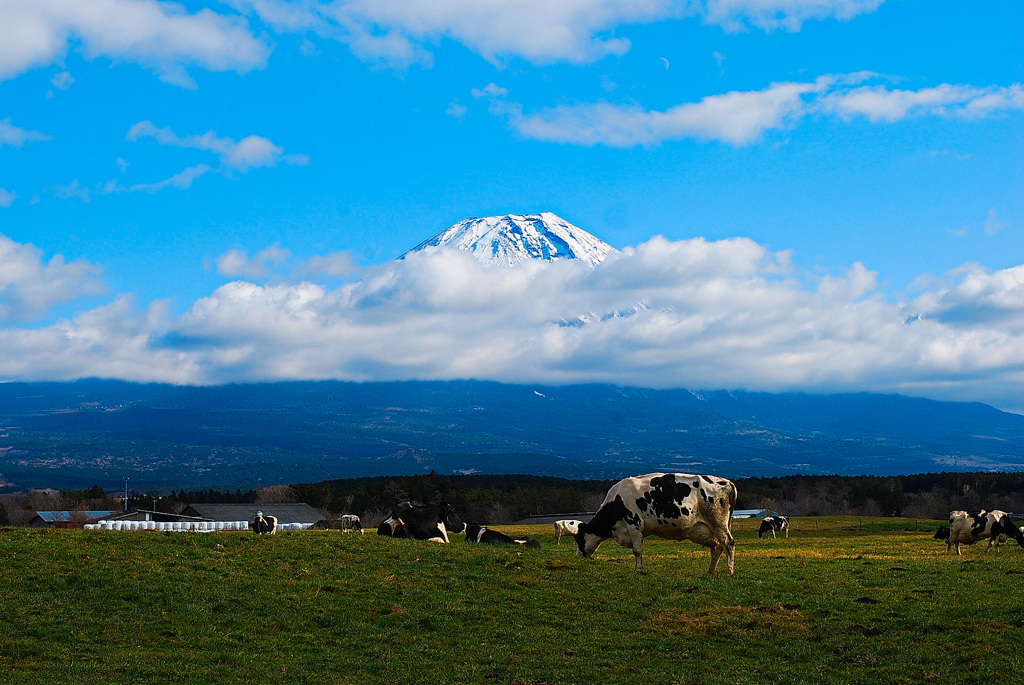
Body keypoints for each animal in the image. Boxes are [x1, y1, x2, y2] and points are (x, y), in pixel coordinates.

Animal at [577, 471, 737, 573]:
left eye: (579, 540)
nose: (579, 555)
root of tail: (727, 482)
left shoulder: (634, 524)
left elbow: (637, 550)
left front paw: (638, 569)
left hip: (718, 523)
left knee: (728, 543)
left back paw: (729, 571)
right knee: (717, 546)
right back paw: (710, 571)